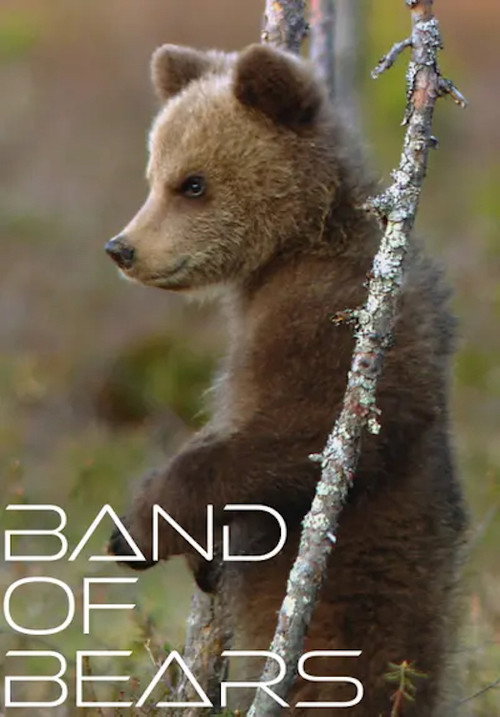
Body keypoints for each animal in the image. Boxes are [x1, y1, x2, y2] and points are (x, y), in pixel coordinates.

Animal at [105, 43, 467, 715]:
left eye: (192, 183)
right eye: (154, 173)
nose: (123, 248)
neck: (300, 243)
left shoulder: (332, 320)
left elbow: (305, 434)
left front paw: (140, 525)